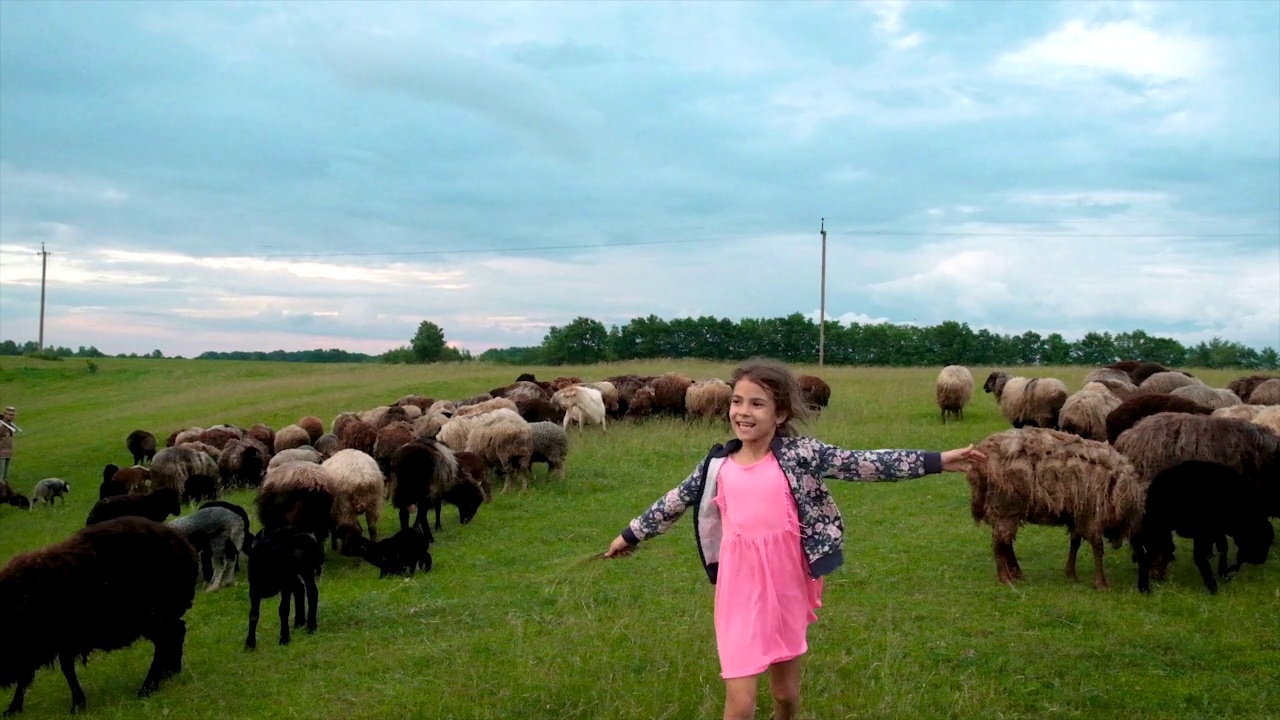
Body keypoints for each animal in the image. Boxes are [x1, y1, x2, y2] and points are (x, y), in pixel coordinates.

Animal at [0, 515, 197, 712]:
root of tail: (184, 545)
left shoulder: (54, 639)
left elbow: (62, 669)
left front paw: (77, 704)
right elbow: (41, 672)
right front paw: (14, 708)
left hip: (149, 615)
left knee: (168, 638)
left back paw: (147, 688)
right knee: (178, 632)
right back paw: (171, 673)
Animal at [962, 425, 1146, 589]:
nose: (1118, 545)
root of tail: (982, 456)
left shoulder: (1076, 515)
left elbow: (1075, 543)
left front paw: (1071, 574)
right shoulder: (1090, 515)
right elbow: (1097, 547)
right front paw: (1101, 583)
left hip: (1006, 508)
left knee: (1005, 541)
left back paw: (1016, 573)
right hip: (1005, 505)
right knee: (999, 542)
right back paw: (1005, 578)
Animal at [1131, 458, 1269, 594]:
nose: (1261, 560)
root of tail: (1153, 488)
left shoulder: (1216, 530)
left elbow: (1223, 547)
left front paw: (1224, 572)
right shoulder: (1205, 530)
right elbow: (1203, 556)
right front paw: (1215, 585)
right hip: (1161, 528)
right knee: (1149, 554)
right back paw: (1145, 589)